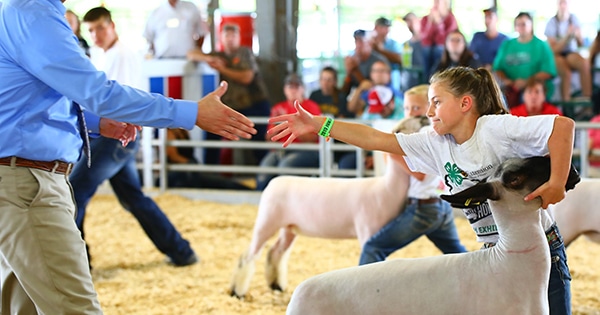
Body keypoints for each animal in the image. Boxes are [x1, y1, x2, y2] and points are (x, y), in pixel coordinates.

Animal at [227, 116, 428, 298]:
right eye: (407, 125)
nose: (423, 117)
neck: (387, 187)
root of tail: (273, 182)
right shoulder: (366, 230)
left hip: (289, 227)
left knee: (276, 252)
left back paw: (276, 285)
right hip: (267, 221)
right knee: (249, 256)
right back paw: (238, 291)